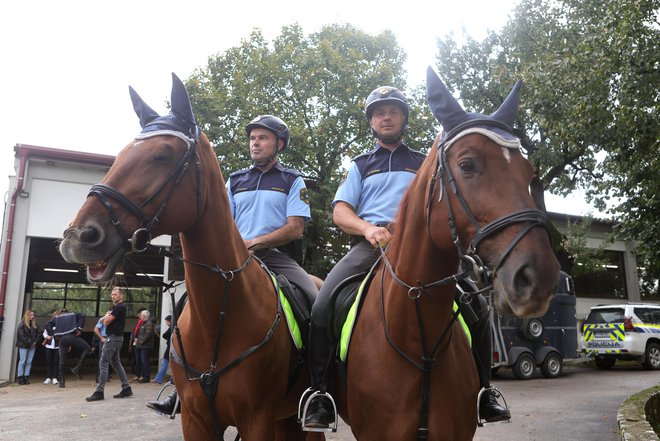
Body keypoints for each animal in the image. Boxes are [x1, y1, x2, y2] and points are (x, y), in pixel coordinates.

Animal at [59, 75, 322, 440]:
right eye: (121, 154)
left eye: (162, 156)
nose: (78, 237)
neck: (221, 313)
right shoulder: (196, 419)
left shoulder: (258, 420)